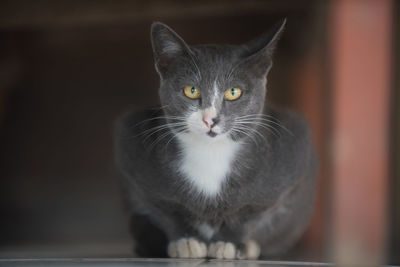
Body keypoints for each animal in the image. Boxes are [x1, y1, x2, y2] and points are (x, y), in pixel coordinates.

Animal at [114, 21, 318, 262]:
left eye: (233, 92)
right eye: (191, 90)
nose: (210, 119)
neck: (211, 152)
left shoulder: (291, 157)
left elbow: (252, 212)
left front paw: (229, 242)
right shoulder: (131, 150)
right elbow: (165, 209)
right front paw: (187, 241)